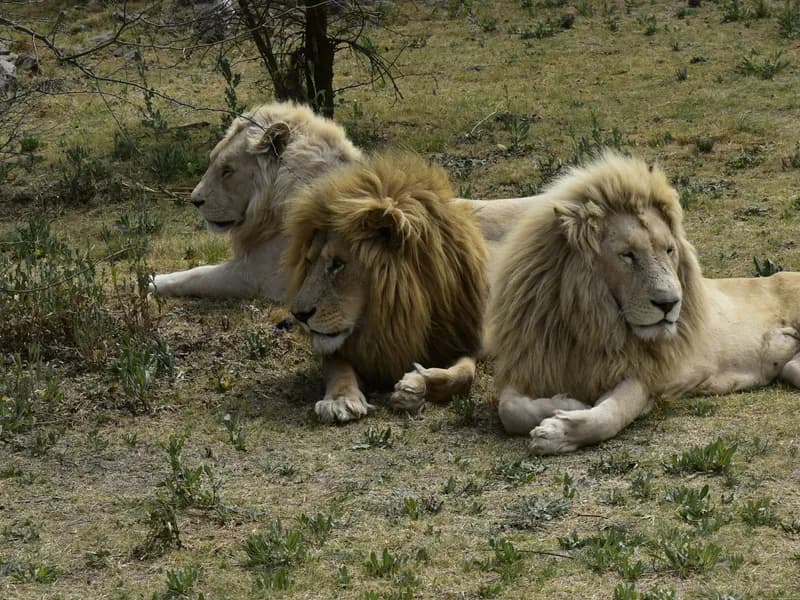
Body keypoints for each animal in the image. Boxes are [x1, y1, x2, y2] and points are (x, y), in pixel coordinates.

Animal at [151, 101, 537, 301]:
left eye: (227, 170)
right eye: (213, 161)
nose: (195, 201)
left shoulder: (261, 275)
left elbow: (197, 275)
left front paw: (153, 282)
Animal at [284, 153, 488, 423]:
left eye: (337, 264)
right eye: (308, 261)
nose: (299, 315)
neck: (390, 322)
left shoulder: (463, 339)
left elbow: (465, 375)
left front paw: (416, 383)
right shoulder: (346, 349)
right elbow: (337, 369)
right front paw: (340, 400)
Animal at [486, 150, 800, 455]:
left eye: (669, 250)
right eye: (627, 255)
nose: (669, 303)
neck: (587, 326)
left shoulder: (645, 376)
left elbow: (610, 415)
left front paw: (559, 431)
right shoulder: (532, 363)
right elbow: (509, 409)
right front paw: (567, 402)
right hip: (791, 369)